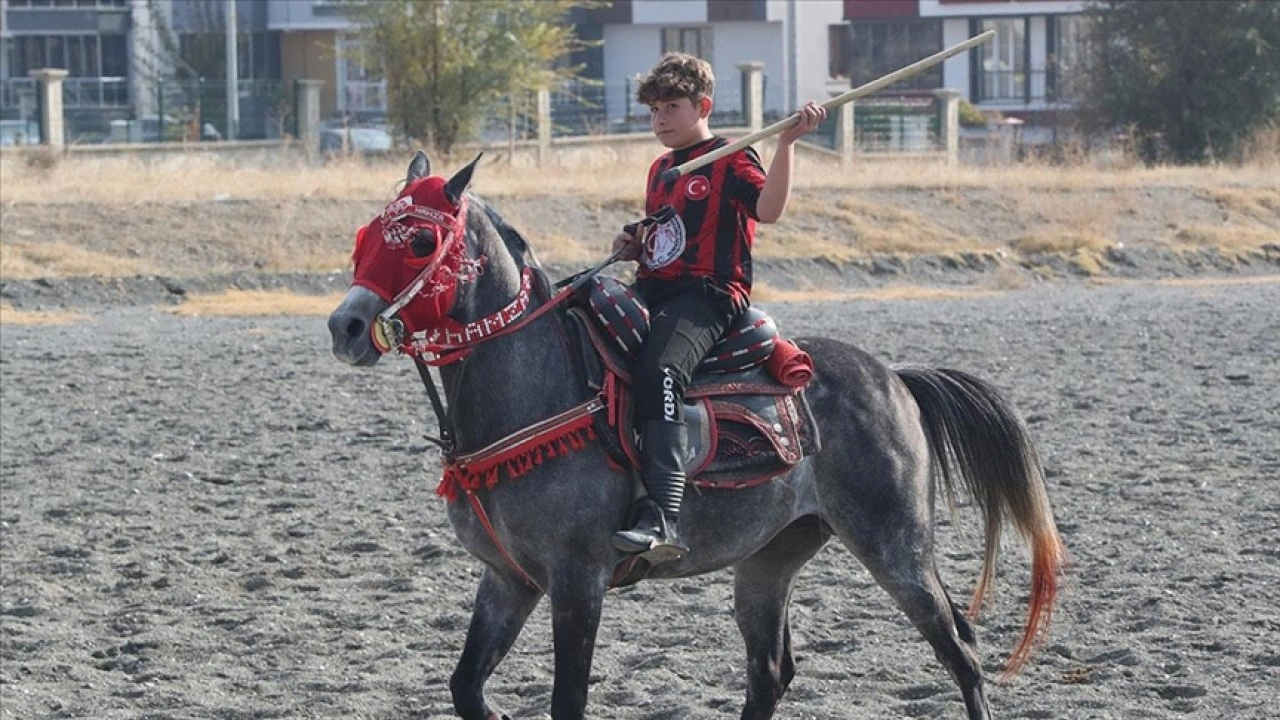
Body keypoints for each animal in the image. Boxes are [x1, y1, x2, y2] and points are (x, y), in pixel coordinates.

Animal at [327, 152, 1059, 717]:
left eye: (421, 242)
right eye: (363, 234)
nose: (346, 326)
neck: (536, 384)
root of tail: (895, 378)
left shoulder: (577, 579)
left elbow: (567, 700)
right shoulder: (509, 579)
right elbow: (465, 686)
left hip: (896, 544)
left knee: (959, 651)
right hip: (769, 559)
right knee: (770, 674)